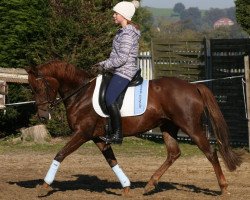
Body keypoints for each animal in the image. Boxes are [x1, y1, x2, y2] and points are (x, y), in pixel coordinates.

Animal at [25, 60, 242, 196]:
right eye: (32, 89)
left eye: (40, 87)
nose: (43, 116)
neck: (81, 94)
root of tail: (192, 86)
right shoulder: (98, 137)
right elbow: (112, 161)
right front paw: (126, 186)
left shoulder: (82, 133)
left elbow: (60, 154)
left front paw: (44, 186)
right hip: (167, 127)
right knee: (174, 153)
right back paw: (150, 184)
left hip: (191, 127)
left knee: (210, 152)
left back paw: (223, 187)